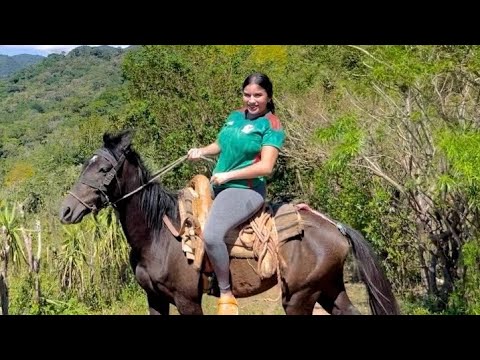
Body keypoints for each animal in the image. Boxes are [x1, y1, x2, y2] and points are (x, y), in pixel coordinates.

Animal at [58, 131, 400, 316]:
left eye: (103, 169)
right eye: (86, 164)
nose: (66, 210)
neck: (158, 235)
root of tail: (336, 227)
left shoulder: (187, 300)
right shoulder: (154, 298)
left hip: (301, 296)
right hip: (329, 288)